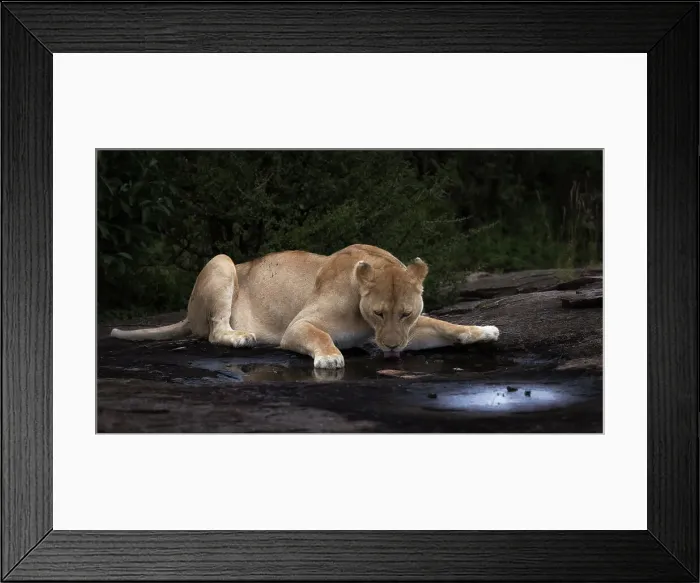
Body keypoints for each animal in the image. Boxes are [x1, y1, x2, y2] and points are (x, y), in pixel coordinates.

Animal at [110, 244, 500, 369]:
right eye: (378, 312)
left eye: (406, 313)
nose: (389, 348)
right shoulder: (298, 326)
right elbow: (319, 336)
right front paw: (331, 357)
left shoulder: (406, 332)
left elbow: (443, 326)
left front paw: (481, 330)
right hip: (222, 263)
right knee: (215, 331)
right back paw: (241, 337)